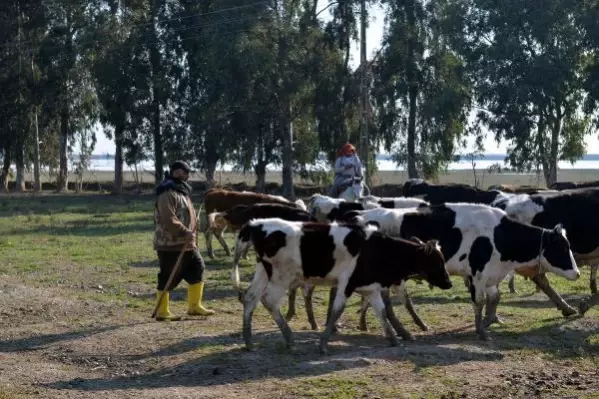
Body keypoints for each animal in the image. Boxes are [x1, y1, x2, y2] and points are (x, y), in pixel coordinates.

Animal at [232, 220, 452, 354]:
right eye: (437, 262)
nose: (449, 283)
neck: (377, 249)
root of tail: (256, 224)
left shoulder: (371, 287)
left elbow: (381, 312)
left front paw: (393, 338)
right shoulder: (347, 284)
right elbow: (337, 311)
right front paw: (323, 344)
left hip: (263, 272)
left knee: (250, 298)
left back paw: (249, 341)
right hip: (281, 277)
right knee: (268, 300)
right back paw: (288, 337)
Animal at [346, 206, 580, 340]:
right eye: (562, 248)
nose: (577, 273)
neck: (497, 235)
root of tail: (362, 215)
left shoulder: (491, 276)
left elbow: (494, 298)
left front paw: (490, 321)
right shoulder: (477, 274)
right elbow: (479, 301)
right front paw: (481, 331)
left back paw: (371, 325)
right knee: (387, 302)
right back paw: (402, 331)